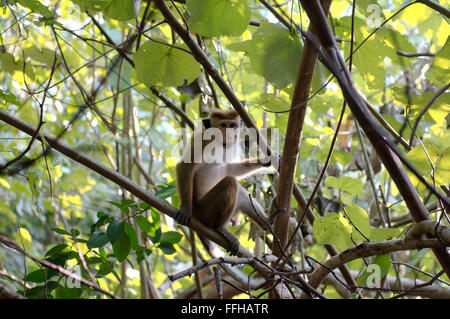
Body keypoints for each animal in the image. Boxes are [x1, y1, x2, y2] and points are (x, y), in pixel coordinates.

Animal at [175, 109, 278, 256]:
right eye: (223, 125)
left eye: (232, 125)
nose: (229, 134)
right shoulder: (203, 140)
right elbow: (185, 167)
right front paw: (184, 208)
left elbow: (230, 168)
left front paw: (266, 160)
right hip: (204, 210)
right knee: (230, 182)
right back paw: (219, 228)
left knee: (240, 192)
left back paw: (267, 222)